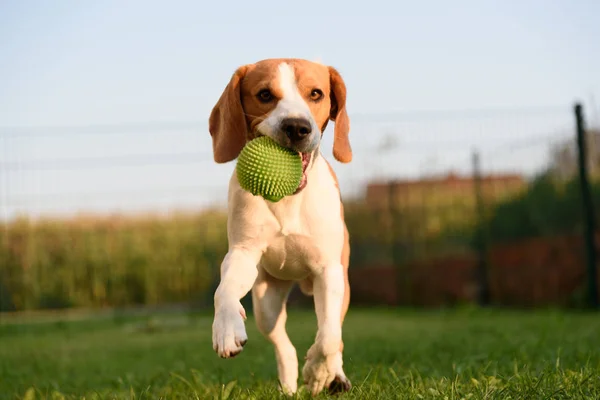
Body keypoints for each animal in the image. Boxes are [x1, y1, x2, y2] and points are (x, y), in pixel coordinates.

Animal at [210, 57, 352, 396]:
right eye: (264, 94)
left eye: (316, 93)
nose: (297, 126)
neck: (287, 198)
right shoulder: (242, 253)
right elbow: (223, 291)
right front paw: (225, 328)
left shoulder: (330, 270)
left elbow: (328, 338)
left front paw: (318, 373)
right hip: (267, 303)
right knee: (283, 346)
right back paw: (288, 385)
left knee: (335, 334)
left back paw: (335, 378)